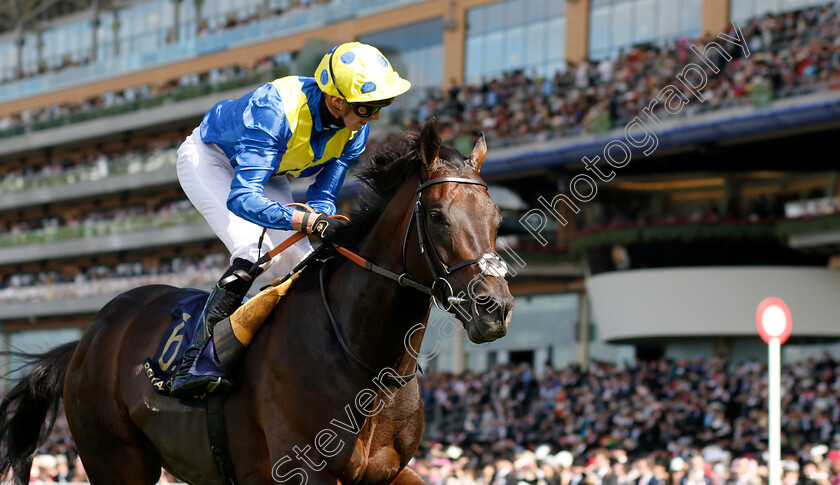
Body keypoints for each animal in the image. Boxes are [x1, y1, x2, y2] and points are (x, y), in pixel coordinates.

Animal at [0, 118, 512, 484]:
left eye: (497, 216)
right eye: (437, 215)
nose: (496, 308)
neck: (366, 363)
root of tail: (87, 338)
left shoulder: (388, 472)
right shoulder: (303, 470)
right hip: (114, 458)